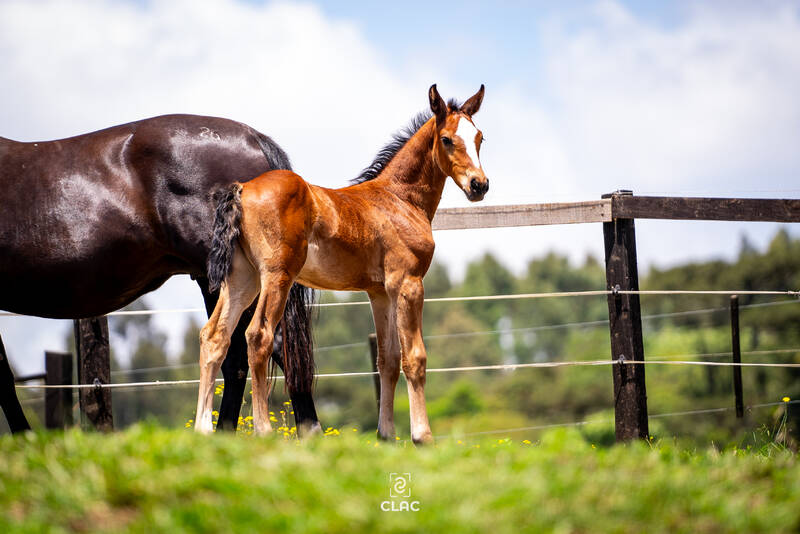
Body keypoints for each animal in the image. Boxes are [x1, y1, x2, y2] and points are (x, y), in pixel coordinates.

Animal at [199, 85, 488, 444]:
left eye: (480, 138)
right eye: (447, 139)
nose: (479, 185)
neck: (400, 199)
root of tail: (242, 188)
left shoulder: (380, 293)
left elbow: (387, 360)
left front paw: (386, 435)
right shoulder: (408, 283)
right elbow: (415, 357)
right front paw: (422, 437)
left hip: (243, 279)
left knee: (214, 337)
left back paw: (201, 430)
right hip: (276, 277)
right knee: (258, 335)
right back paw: (263, 431)